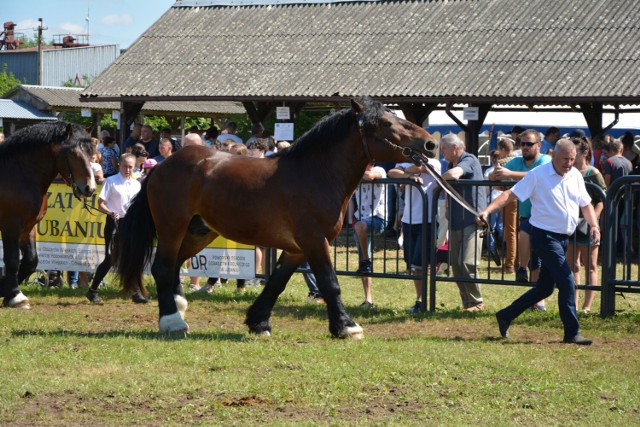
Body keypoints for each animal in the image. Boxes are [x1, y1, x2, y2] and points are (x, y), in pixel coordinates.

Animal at [0, 122, 95, 310]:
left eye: (91, 152)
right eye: (73, 154)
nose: (90, 188)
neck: (18, 176)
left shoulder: (28, 226)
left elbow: (31, 260)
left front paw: (4, 291)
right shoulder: (11, 226)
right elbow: (12, 260)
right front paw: (15, 296)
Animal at [115, 98, 436, 340]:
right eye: (387, 124)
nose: (430, 144)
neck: (316, 174)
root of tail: (161, 165)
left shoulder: (297, 248)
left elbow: (277, 283)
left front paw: (258, 322)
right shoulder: (314, 240)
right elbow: (330, 282)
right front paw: (346, 326)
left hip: (199, 231)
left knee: (174, 265)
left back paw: (179, 306)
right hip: (173, 226)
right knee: (162, 267)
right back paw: (172, 321)